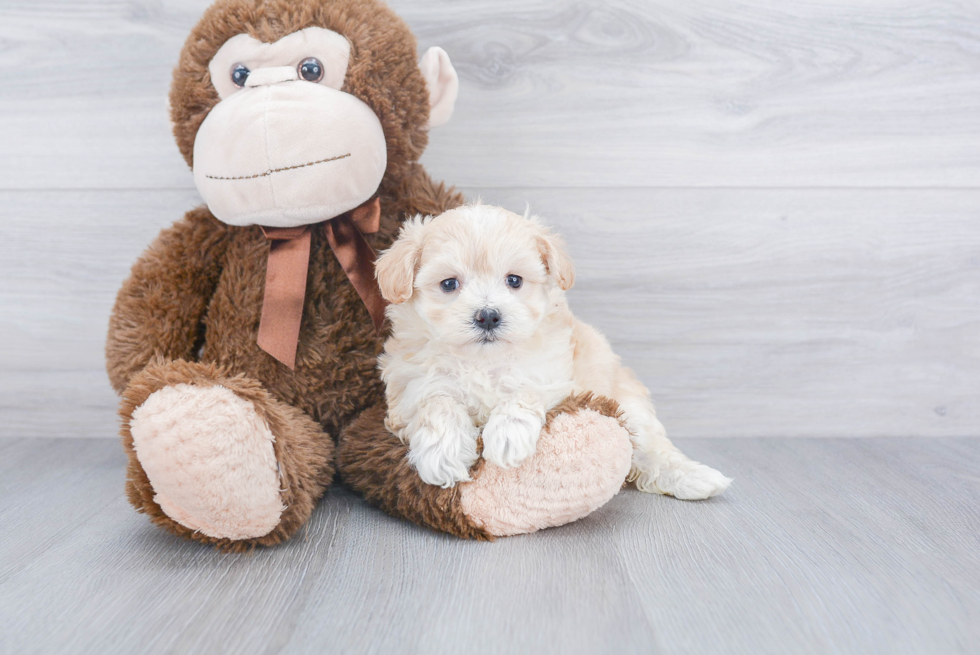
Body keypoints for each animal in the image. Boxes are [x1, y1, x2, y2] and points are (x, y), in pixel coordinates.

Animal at [374, 202, 728, 500]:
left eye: (514, 280)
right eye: (449, 284)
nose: (488, 315)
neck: (484, 361)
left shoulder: (555, 377)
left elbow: (526, 390)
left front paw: (508, 437)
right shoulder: (411, 389)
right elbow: (437, 404)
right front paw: (443, 454)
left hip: (630, 407)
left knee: (652, 450)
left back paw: (695, 478)